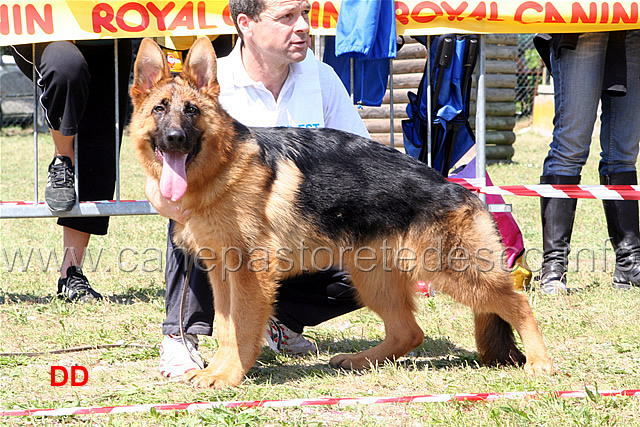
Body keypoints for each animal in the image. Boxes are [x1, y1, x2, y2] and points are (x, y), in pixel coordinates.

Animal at [131, 38, 556, 390]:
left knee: (517, 302)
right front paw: (219, 370)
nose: (175, 139)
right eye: (159, 110)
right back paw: (360, 360)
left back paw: (540, 362)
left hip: (452, 272)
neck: (223, 167)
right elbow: (224, 327)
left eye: (191, 111)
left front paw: (228, 375)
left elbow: (241, 329)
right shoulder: (221, 273)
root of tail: (459, 188)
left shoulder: (250, 274)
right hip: (371, 279)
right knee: (408, 332)